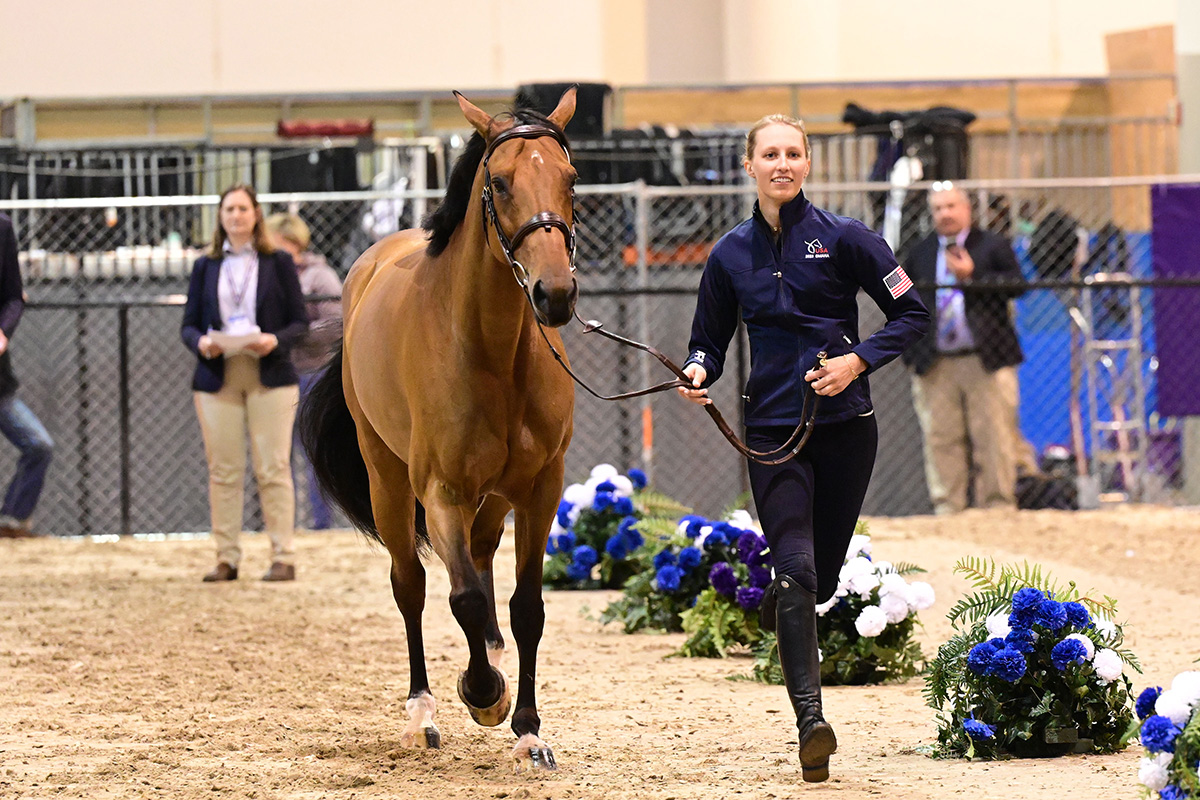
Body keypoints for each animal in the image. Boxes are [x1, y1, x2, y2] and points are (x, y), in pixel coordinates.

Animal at [302, 89, 578, 767]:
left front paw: (527, 728)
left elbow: (527, 606)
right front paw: (483, 695)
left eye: (570, 178)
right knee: (413, 584)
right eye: (500, 182)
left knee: (478, 557)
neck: (492, 353)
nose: (555, 294)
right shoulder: (443, 492)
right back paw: (422, 711)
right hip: (390, 483)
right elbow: (462, 597)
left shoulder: (541, 490)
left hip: (495, 496)